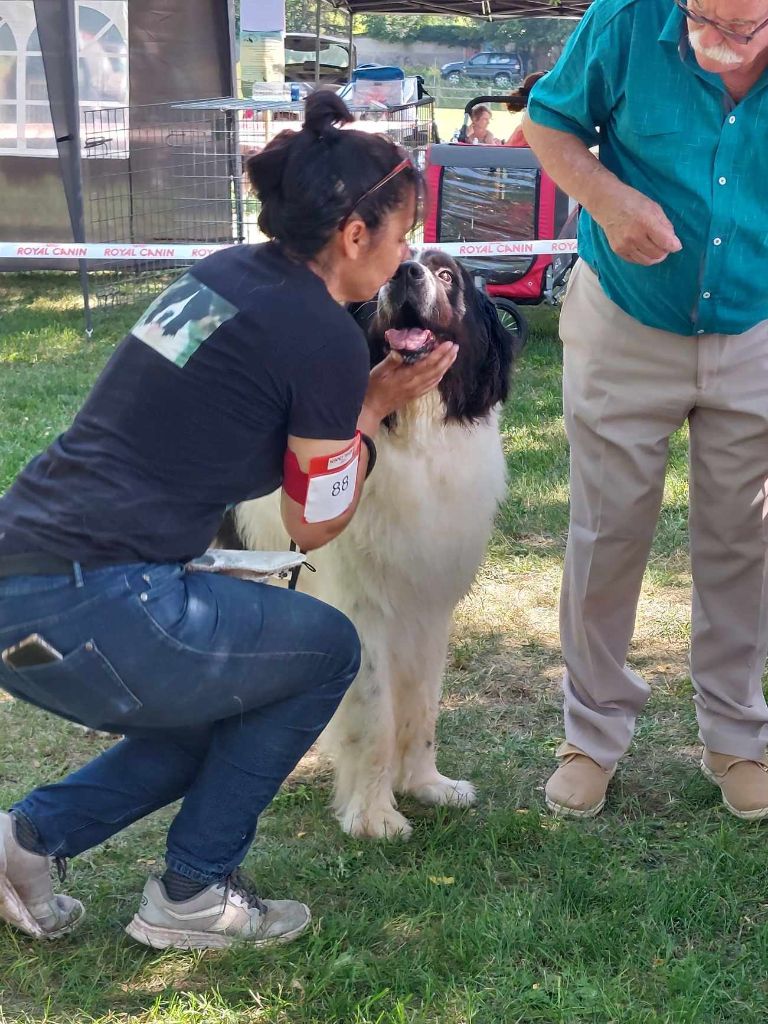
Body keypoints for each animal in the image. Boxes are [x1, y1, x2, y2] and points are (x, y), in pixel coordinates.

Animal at [230, 249, 518, 839]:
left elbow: (423, 703)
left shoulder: (428, 606)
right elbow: (376, 715)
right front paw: (374, 815)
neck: (415, 436)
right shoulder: (363, 610)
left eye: (447, 273)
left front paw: (427, 785)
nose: (406, 273)